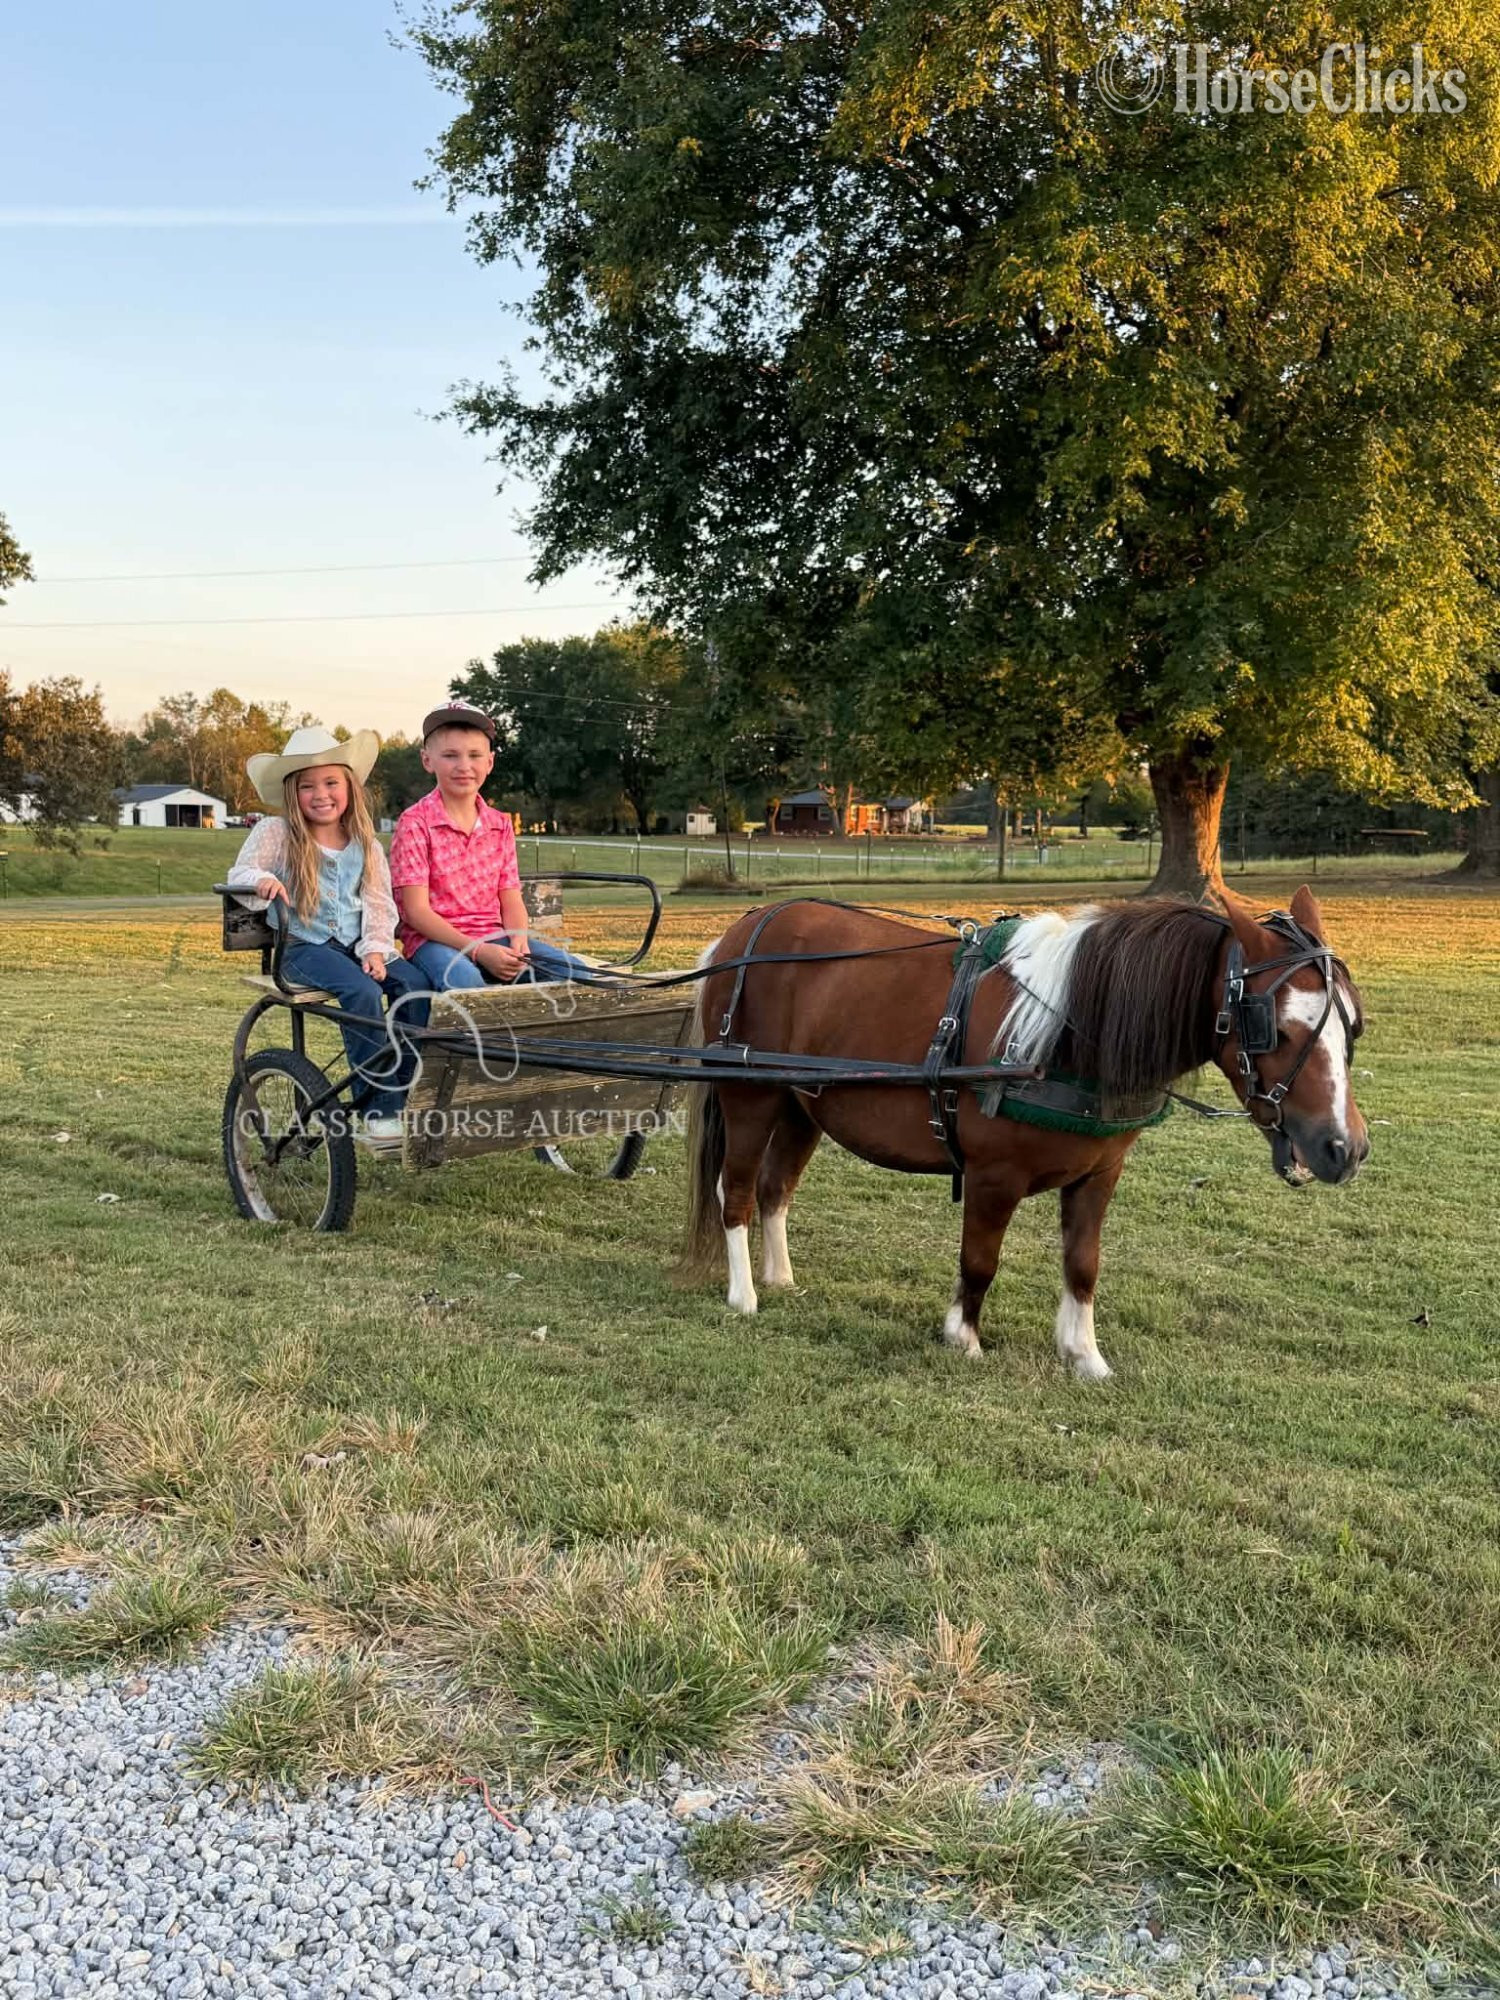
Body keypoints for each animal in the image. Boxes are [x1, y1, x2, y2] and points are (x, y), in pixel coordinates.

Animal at [683, 885, 1366, 1378]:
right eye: (1274, 1028)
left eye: (1352, 1026)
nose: (1345, 1148)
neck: (1070, 1029)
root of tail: (743, 930)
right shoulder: (993, 1176)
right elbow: (980, 1260)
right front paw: (963, 1336)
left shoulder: (1099, 1173)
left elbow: (1083, 1264)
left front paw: (1084, 1355)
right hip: (750, 1098)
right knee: (735, 1192)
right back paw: (744, 1294)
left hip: (803, 1106)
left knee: (774, 1190)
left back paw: (780, 1277)